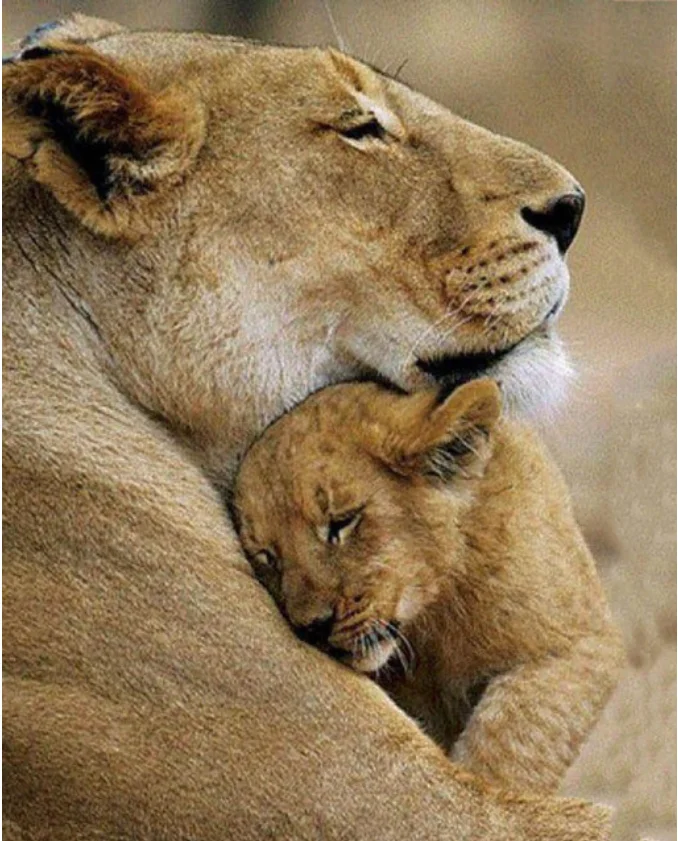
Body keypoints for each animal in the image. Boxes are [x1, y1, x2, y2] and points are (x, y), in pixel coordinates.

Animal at [234, 378, 624, 794]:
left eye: (342, 522)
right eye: (267, 556)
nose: (313, 627)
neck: (432, 619)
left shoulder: (581, 642)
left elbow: (512, 736)